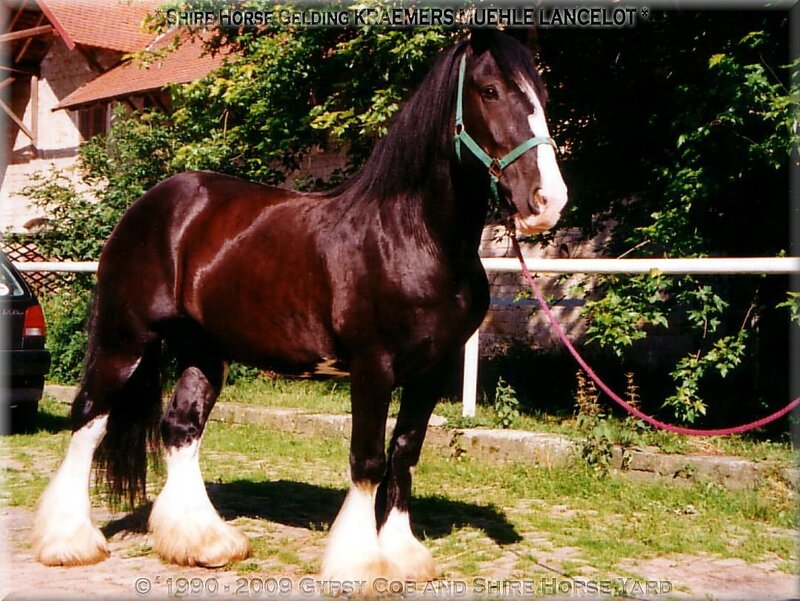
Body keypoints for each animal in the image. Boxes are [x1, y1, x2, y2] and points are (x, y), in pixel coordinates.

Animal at [31, 29, 567, 586]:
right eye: (490, 91)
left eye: (544, 96)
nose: (546, 201)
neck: (414, 238)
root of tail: (148, 207)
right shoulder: (373, 368)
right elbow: (368, 460)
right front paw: (360, 564)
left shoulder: (431, 373)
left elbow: (405, 454)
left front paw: (402, 554)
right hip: (126, 339)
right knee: (89, 419)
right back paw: (69, 543)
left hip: (204, 351)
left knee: (180, 427)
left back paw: (204, 542)